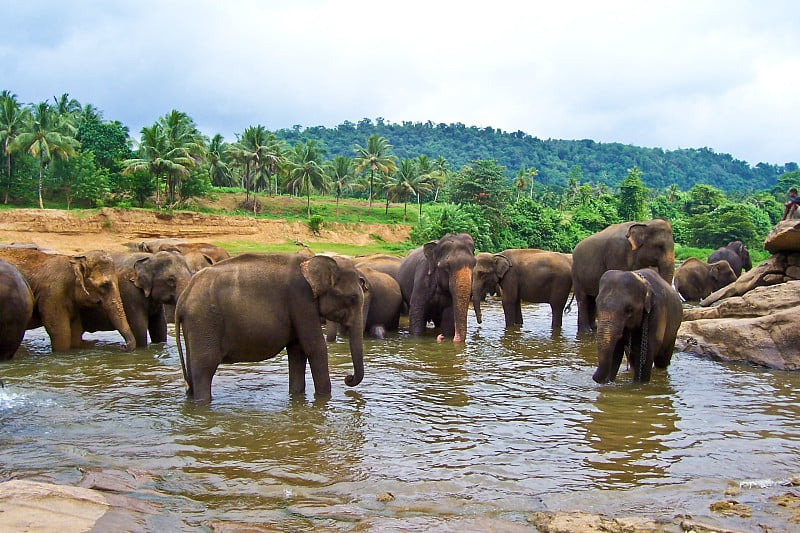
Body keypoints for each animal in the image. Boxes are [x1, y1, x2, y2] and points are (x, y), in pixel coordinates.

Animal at [0, 246, 134, 354]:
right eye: (104, 285)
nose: (123, 347)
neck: (73, 260)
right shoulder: (52, 294)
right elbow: (61, 334)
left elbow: (75, 332)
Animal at [177, 252, 368, 400]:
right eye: (352, 299)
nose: (348, 378)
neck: (310, 262)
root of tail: (183, 298)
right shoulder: (301, 299)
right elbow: (315, 347)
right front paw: (324, 398)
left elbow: (297, 351)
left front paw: (296, 397)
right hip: (204, 322)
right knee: (205, 369)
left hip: (196, 327)